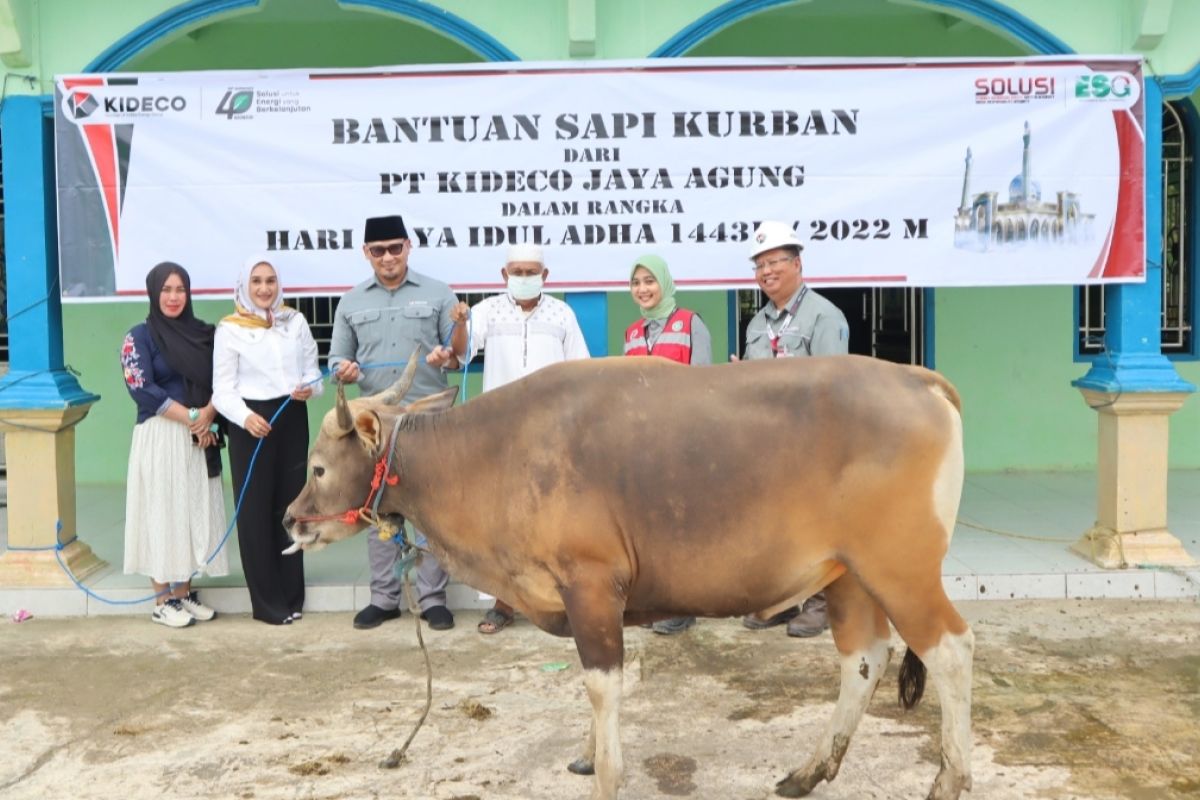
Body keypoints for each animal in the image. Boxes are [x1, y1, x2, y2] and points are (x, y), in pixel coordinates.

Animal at [283, 352, 974, 796]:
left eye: (317, 468)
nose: (291, 520)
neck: (496, 453)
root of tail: (917, 379)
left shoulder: (590, 588)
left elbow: (601, 687)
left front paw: (606, 771)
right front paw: (589, 756)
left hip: (902, 570)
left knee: (951, 651)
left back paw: (950, 778)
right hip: (848, 575)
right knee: (865, 659)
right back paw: (810, 772)